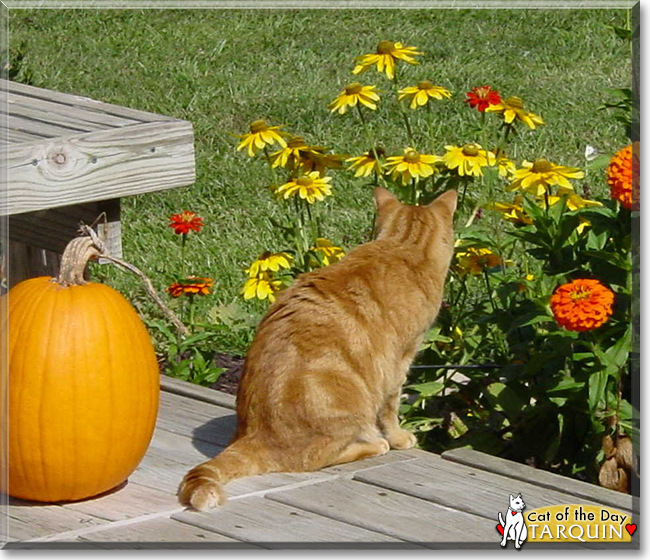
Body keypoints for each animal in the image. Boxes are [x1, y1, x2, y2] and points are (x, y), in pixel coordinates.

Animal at [177, 186, 456, 510]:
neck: (403, 244)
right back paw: (375, 444)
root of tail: (254, 434)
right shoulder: (400, 360)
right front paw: (398, 437)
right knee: (314, 459)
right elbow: (390, 408)